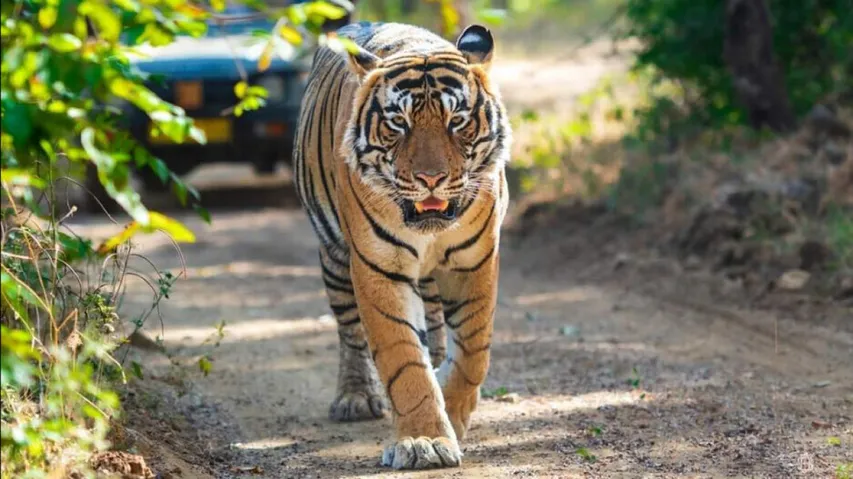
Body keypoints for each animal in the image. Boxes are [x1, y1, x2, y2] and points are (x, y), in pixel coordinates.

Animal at [292, 21, 511, 470]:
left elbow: (473, 351)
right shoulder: (379, 267)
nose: (431, 179)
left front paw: (453, 411)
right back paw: (356, 397)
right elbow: (403, 359)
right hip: (334, 257)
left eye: (457, 120)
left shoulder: (473, 262)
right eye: (398, 122)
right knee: (350, 332)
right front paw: (424, 440)